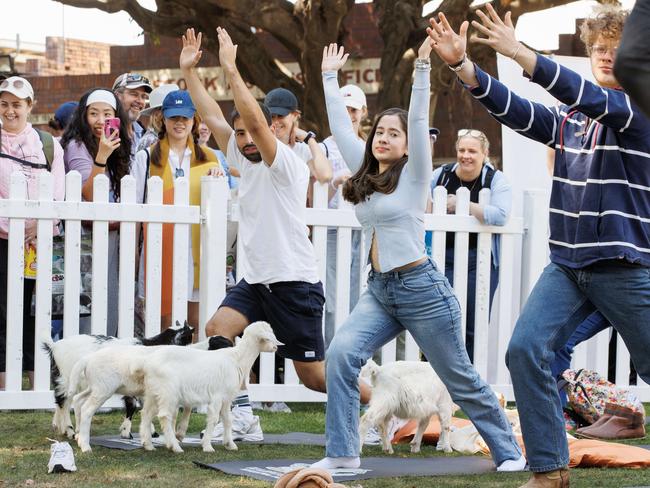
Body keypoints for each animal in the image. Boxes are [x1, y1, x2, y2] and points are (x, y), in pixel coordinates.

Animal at [40, 322, 191, 440]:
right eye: (187, 340)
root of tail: (54, 346)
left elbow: (144, 405)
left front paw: (150, 431)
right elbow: (132, 405)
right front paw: (126, 432)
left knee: (60, 401)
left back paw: (59, 427)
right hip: (67, 378)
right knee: (64, 402)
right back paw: (69, 430)